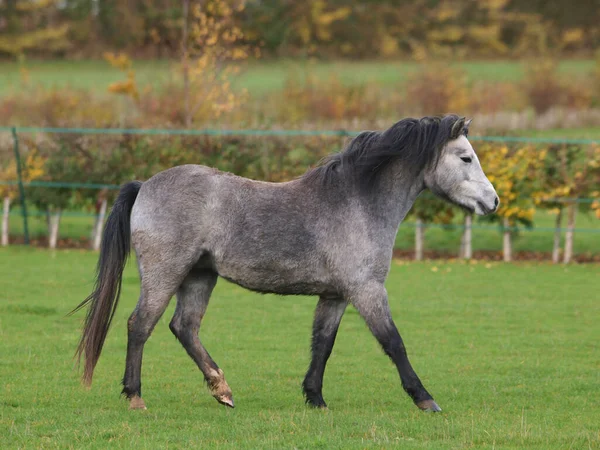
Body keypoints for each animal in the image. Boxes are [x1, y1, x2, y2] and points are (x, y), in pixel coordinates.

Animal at [72, 115, 500, 412]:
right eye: (466, 157)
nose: (493, 201)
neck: (357, 202)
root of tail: (144, 185)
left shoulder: (336, 295)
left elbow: (322, 344)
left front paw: (315, 399)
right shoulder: (367, 290)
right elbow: (393, 342)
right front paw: (425, 399)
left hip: (199, 276)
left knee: (185, 327)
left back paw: (222, 390)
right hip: (165, 274)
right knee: (140, 325)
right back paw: (135, 397)